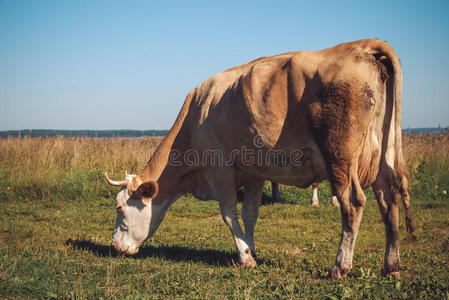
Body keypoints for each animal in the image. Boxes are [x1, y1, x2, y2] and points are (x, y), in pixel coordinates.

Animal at [105, 39, 416, 278]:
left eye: (120, 207)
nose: (114, 247)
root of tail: (359, 45)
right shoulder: (254, 173)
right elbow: (250, 214)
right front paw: (251, 248)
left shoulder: (219, 168)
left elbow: (229, 213)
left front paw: (245, 257)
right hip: (382, 155)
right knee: (389, 200)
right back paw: (392, 266)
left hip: (340, 157)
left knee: (352, 203)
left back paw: (340, 267)